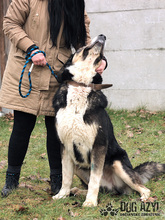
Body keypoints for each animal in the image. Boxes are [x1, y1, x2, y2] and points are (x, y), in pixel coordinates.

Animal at [52, 34, 165, 206]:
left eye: (103, 57)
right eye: (81, 47)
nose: (103, 36)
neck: (81, 86)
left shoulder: (98, 145)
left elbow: (94, 179)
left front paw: (90, 202)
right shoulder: (65, 146)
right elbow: (66, 176)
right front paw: (62, 194)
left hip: (118, 165)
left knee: (141, 188)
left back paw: (144, 198)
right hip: (78, 164)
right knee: (101, 188)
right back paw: (76, 191)